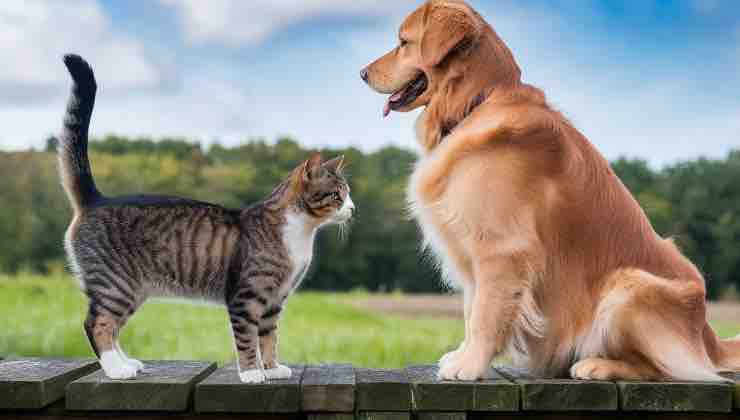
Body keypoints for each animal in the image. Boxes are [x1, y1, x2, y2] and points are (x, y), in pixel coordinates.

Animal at [59, 55, 354, 384]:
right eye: (336, 195)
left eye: (348, 194)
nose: (353, 208)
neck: (300, 232)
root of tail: (96, 199)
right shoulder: (246, 297)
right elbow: (248, 339)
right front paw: (252, 373)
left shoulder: (274, 301)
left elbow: (269, 337)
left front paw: (273, 368)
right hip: (115, 284)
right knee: (96, 323)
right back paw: (115, 369)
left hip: (131, 290)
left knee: (111, 325)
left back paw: (127, 362)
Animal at [360, 0, 740, 380]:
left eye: (403, 42)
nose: (362, 73)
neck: (478, 102)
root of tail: (708, 337)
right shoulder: (474, 250)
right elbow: (471, 309)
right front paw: (463, 355)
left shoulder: (501, 248)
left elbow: (484, 315)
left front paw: (470, 365)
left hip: (628, 288)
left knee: (666, 369)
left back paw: (597, 365)